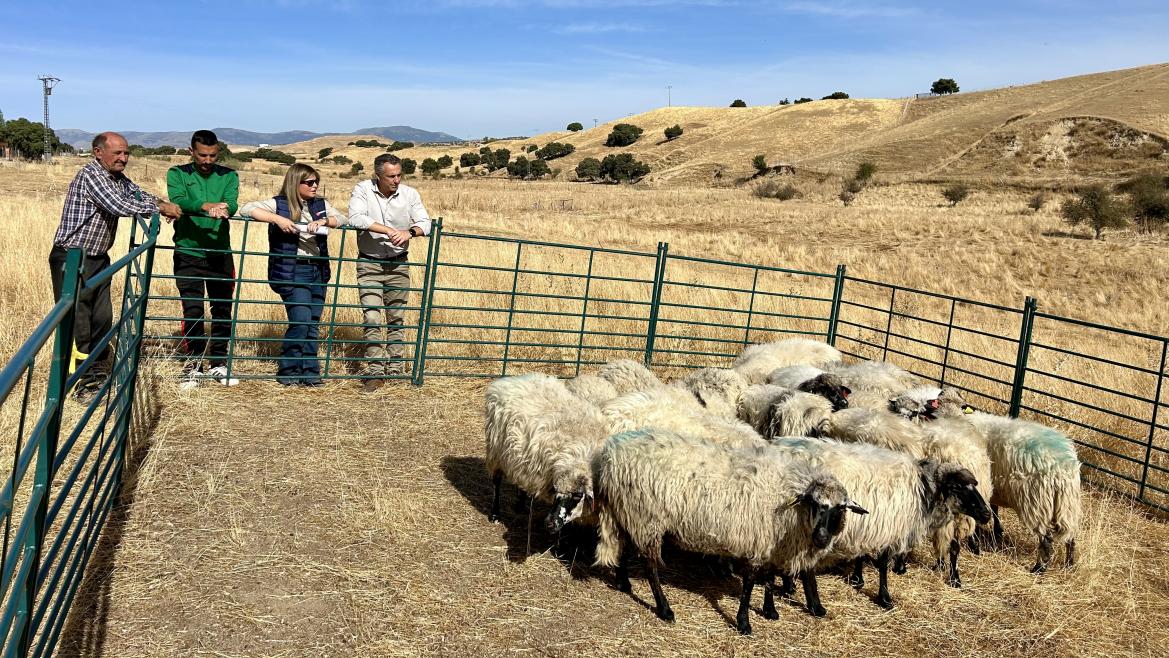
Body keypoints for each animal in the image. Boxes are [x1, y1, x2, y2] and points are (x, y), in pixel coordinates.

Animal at [484, 373, 609, 531]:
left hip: (520, 457)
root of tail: (510, 380)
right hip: (495, 450)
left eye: (578, 495)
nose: (550, 523)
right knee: (497, 481)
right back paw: (495, 514)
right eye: (555, 490)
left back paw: (520, 506)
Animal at [594, 428, 868, 634]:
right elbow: (749, 584)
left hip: (627, 512)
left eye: (841, 509)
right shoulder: (759, 540)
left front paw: (770, 611)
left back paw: (623, 583)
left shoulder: (771, 542)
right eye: (815, 504)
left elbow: (769, 580)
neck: (790, 498)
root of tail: (611, 453)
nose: (822, 538)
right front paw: (744, 623)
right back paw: (665, 609)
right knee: (650, 565)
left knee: (622, 545)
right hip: (646, 517)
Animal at [769, 437, 992, 610]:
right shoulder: (889, 527)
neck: (922, 491)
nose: (987, 514)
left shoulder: (869, 525)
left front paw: (858, 579)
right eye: (957, 487)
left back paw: (790, 587)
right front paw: (884, 598)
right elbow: (883, 563)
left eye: (974, 486)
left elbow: (861, 554)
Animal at [962, 412, 1082, 572]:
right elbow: (994, 510)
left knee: (1046, 540)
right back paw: (1068, 565)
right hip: (1067, 506)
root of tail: (1065, 466)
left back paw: (1039, 569)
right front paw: (997, 532)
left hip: (1037, 504)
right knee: (1071, 537)